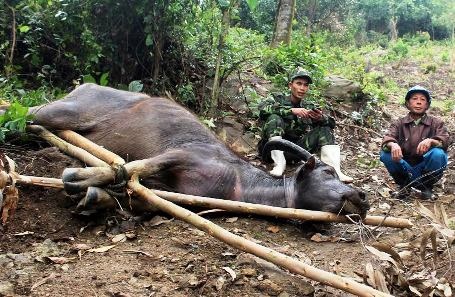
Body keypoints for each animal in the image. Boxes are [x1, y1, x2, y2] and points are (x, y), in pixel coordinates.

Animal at [28, 82, 368, 215]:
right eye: (327, 172)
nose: (362, 197)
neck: (238, 181)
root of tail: (84, 85)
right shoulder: (179, 155)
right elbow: (132, 167)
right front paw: (78, 176)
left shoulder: (176, 196)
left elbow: (137, 194)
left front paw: (96, 196)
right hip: (59, 112)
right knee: (31, 114)